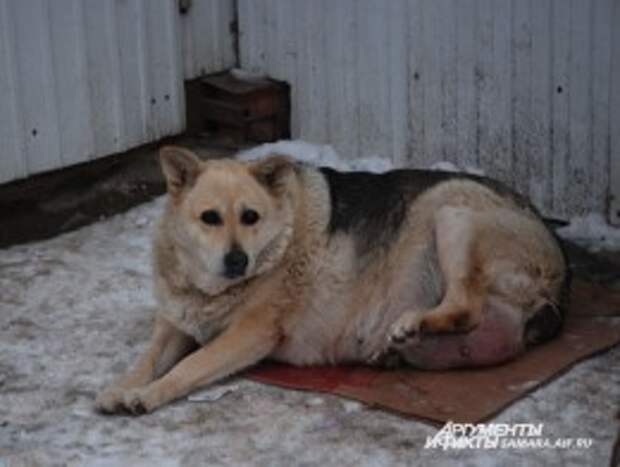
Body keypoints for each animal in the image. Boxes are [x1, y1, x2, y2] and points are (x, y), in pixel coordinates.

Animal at [94, 147, 568, 416]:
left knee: (465, 305)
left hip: (451, 209)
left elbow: (188, 367)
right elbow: (145, 361)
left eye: (250, 217)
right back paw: (397, 350)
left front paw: (148, 396)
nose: (237, 260)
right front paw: (121, 388)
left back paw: (411, 324)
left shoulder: (250, 334)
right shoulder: (175, 324)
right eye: (209, 218)